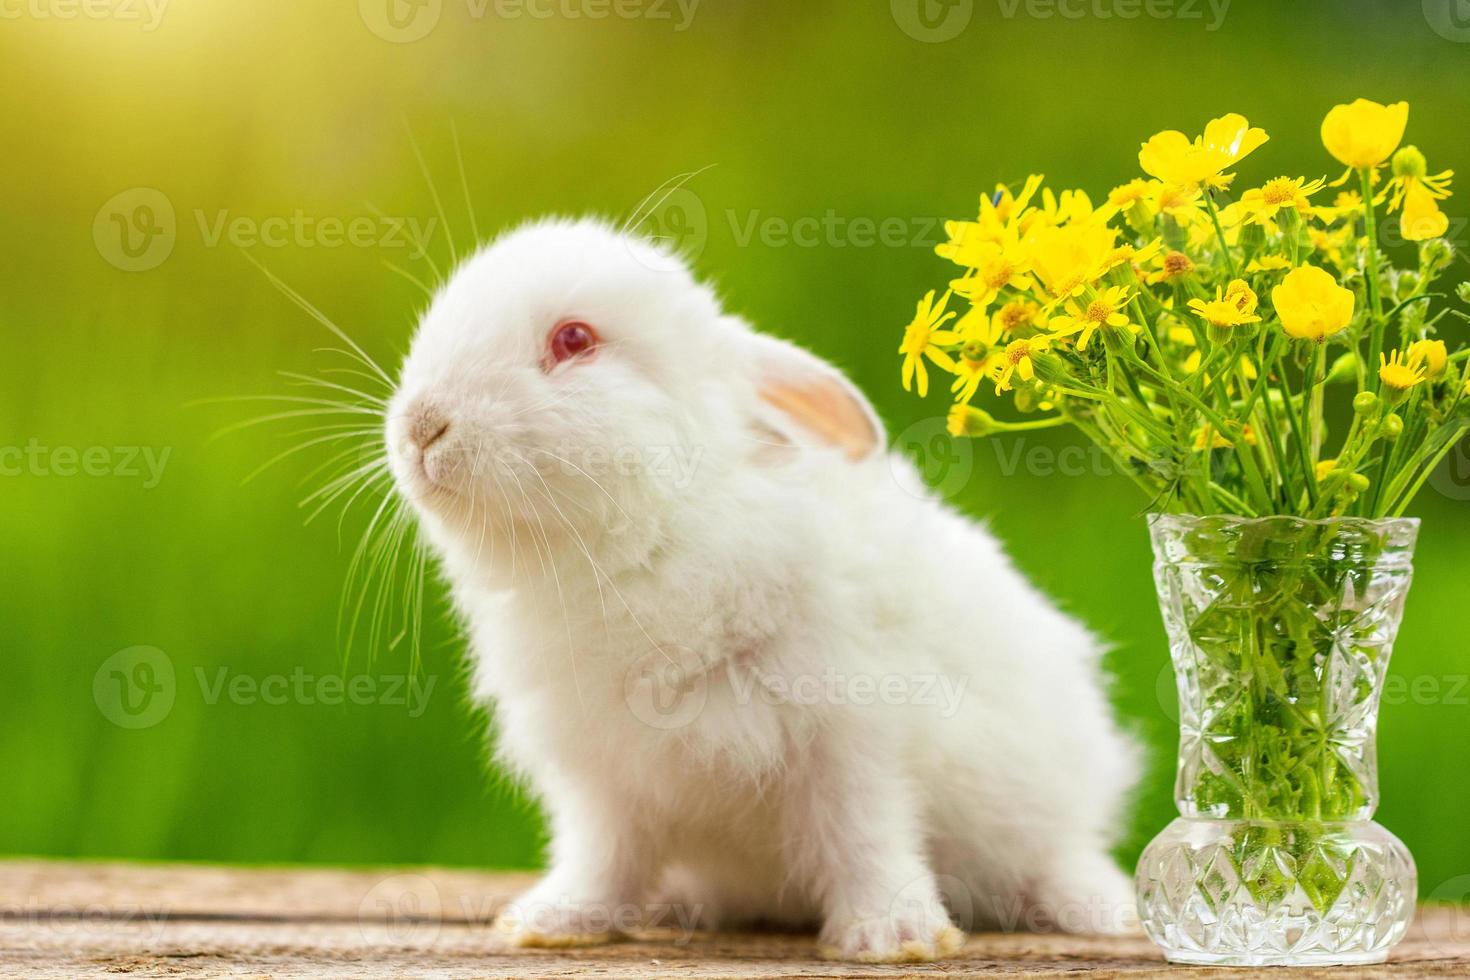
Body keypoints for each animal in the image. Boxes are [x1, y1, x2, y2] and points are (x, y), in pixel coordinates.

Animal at [379, 218, 1134, 963]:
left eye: (574, 340)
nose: (421, 426)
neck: (650, 536)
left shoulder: (854, 737)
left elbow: (866, 834)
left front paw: (894, 937)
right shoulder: (605, 776)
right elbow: (603, 857)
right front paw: (554, 921)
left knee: (1054, 857)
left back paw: (1101, 910)